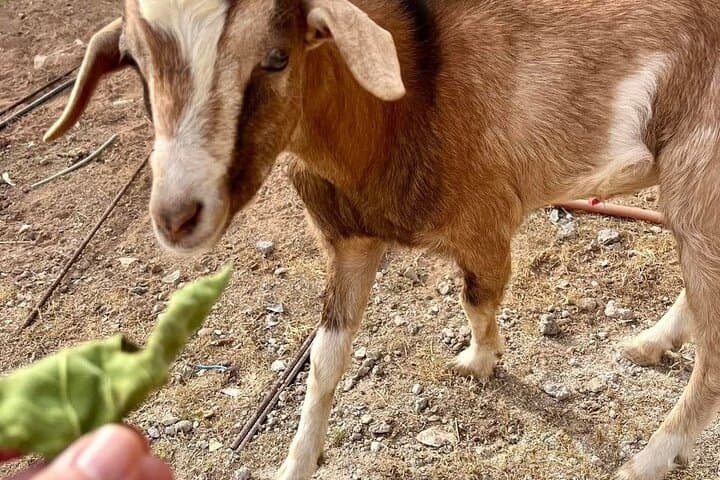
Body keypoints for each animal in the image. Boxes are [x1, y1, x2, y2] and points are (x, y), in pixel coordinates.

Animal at [45, 1, 720, 479]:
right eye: (136, 64)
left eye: (277, 57)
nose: (177, 215)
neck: (401, 106)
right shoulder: (349, 241)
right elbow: (324, 360)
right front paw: (295, 463)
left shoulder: (484, 222)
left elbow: (479, 296)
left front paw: (478, 361)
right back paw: (651, 343)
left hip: (698, 172)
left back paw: (646, 461)